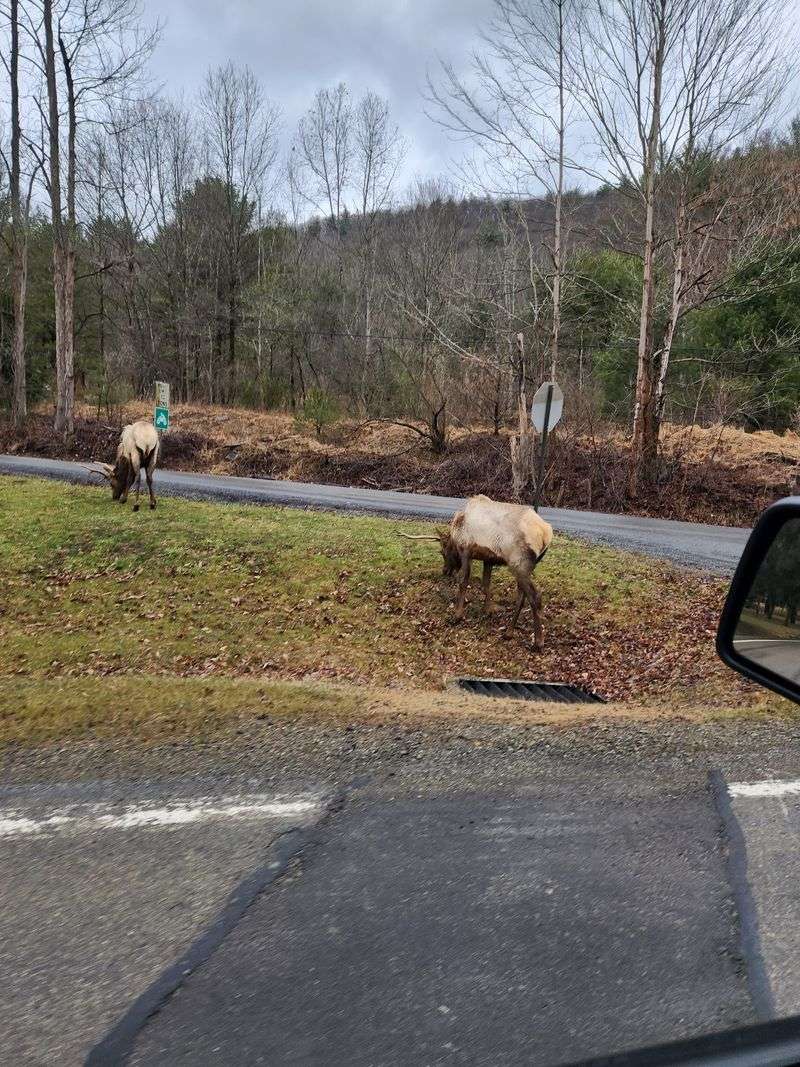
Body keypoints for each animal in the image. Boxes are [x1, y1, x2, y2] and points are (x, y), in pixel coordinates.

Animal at [402, 494, 553, 649]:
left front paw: (457, 615)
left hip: (519, 564)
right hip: (523, 568)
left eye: (443, 552)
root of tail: (546, 534)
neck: (456, 531)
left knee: (535, 596)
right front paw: (488, 609)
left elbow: (463, 581)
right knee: (522, 597)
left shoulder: (466, 551)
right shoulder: (488, 559)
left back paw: (538, 642)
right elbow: (485, 585)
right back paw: (509, 633)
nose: (445, 571)